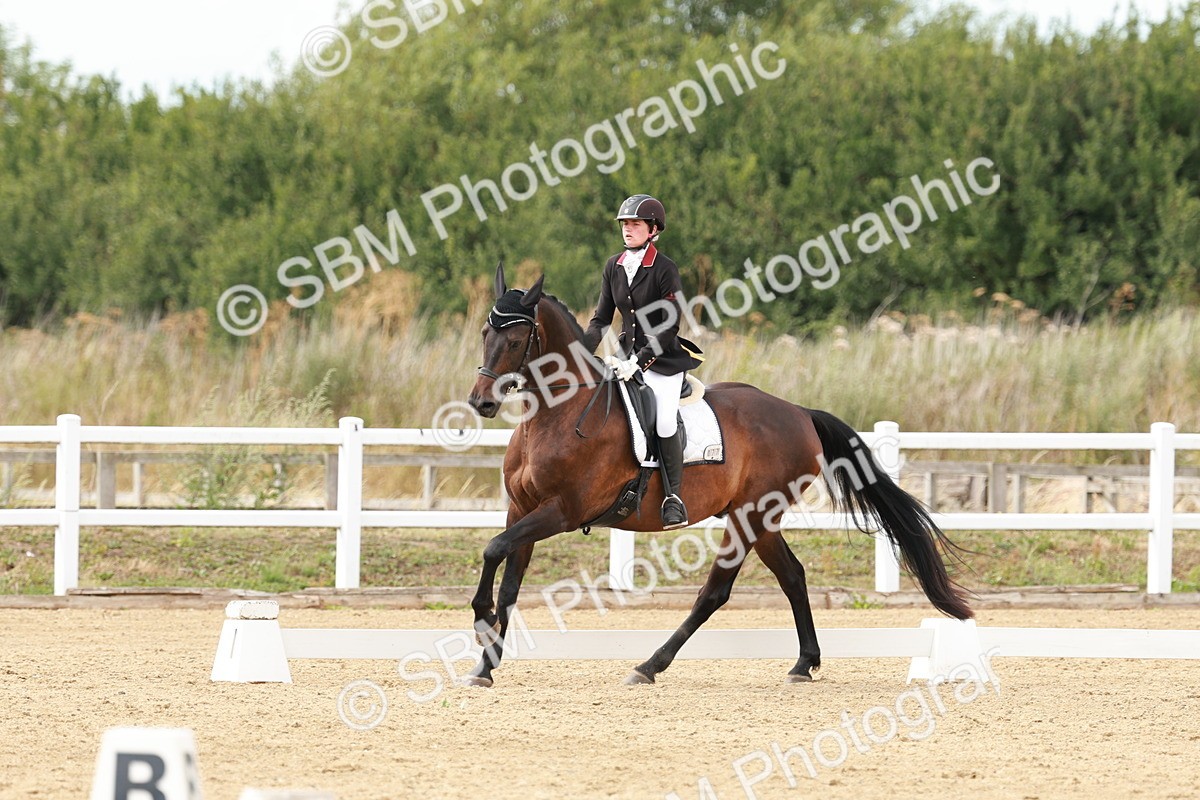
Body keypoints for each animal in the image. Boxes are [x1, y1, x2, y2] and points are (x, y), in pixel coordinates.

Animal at [464, 262, 971, 687]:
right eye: (485, 332)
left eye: (515, 341)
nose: (480, 403)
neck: (561, 412)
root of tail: (799, 413)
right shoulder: (523, 508)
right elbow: (509, 579)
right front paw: (486, 664)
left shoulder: (563, 511)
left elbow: (493, 550)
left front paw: (480, 620)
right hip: (759, 519)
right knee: (793, 575)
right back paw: (803, 664)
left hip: (750, 516)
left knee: (715, 591)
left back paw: (649, 666)